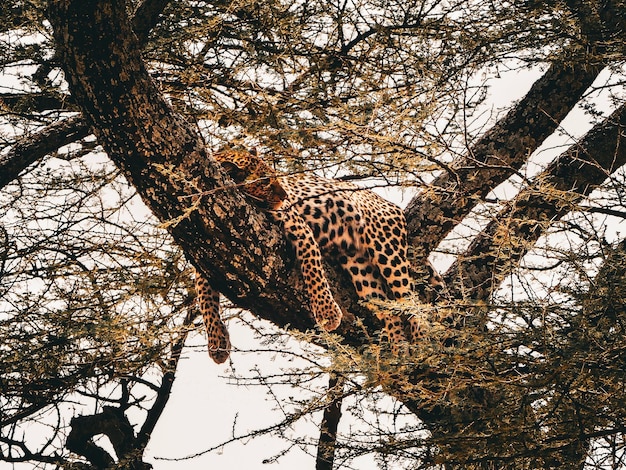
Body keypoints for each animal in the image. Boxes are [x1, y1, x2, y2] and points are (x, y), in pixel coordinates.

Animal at [195, 148, 444, 364]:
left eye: (276, 176)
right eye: (264, 181)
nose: (285, 195)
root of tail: (390, 204)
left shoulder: (298, 226)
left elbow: (312, 267)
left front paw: (327, 313)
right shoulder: (205, 244)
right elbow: (204, 297)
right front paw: (217, 343)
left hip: (385, 245)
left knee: (409, 299)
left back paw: (421, 343)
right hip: (359, 266)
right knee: (388, 309)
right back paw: (399, 348)